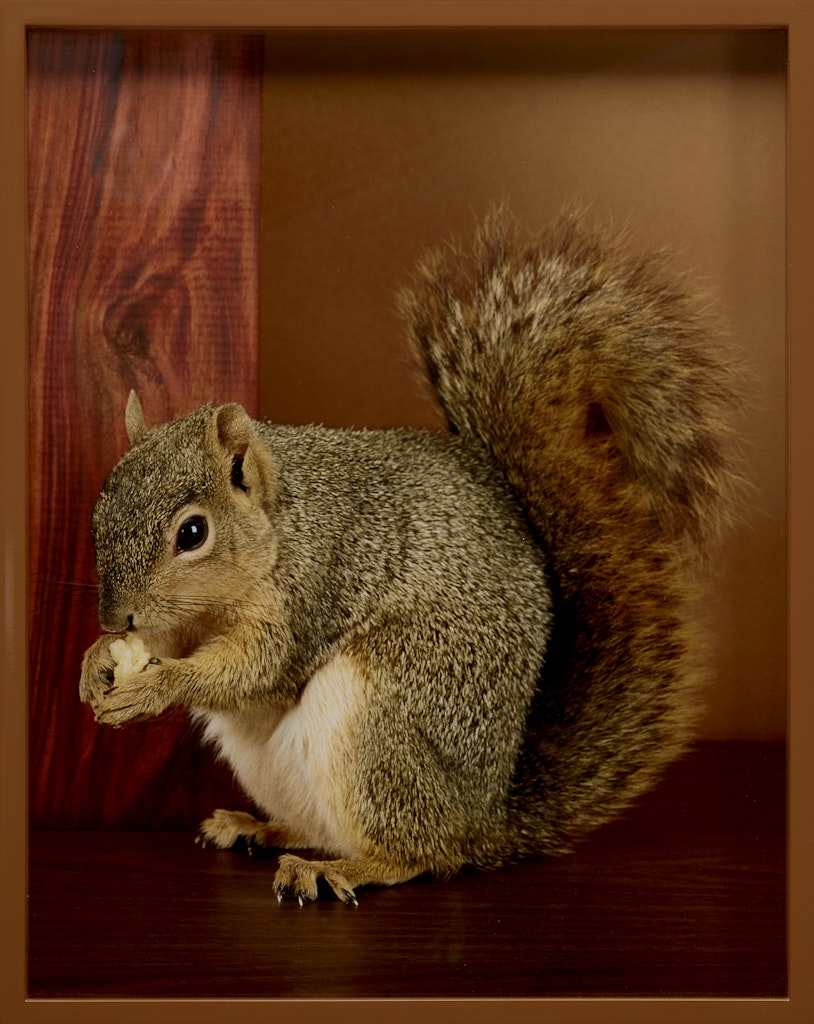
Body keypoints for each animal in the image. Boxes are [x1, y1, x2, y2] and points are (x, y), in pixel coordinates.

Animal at [79, 208, 739, 904]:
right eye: (99, 510)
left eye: (192, 533)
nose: (116, 617)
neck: (282, 526)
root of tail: (483, 820)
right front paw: (98, 662)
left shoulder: (312, 587)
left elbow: (254, 668)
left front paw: (156, 686)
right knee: (327, 828)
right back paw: (259, 828)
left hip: (379, 721)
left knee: (422, 853)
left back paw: (338, 869)